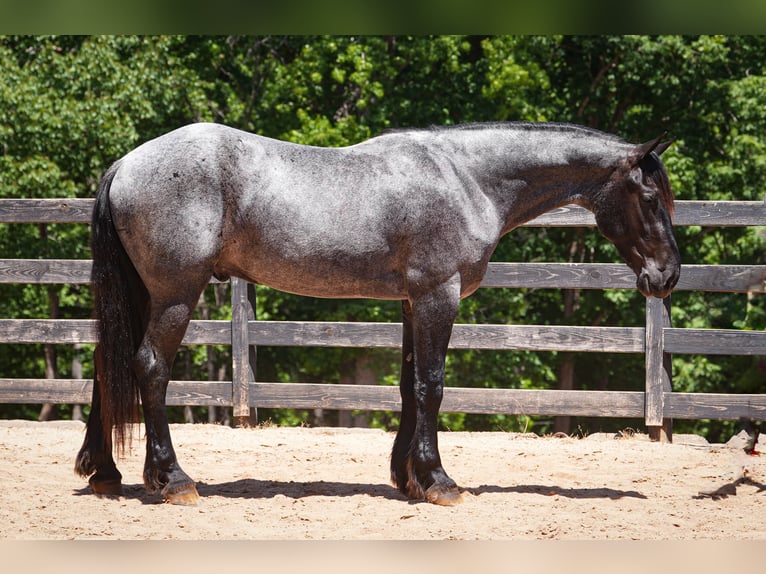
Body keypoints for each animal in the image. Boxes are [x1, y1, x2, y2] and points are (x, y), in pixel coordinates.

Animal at [75, 121, 680, 506]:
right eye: (651, 199)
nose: (668, 276)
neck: (467, 179)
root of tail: (125, 164)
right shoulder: (439, 295)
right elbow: (433, 386)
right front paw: (439, 482)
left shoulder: (414, 302)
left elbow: (411, 386)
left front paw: (408, 477)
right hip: (176, 294)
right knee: (150, 367)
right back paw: (173, 479)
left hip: (142, 294)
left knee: (109, 363)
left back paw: (107, 471)